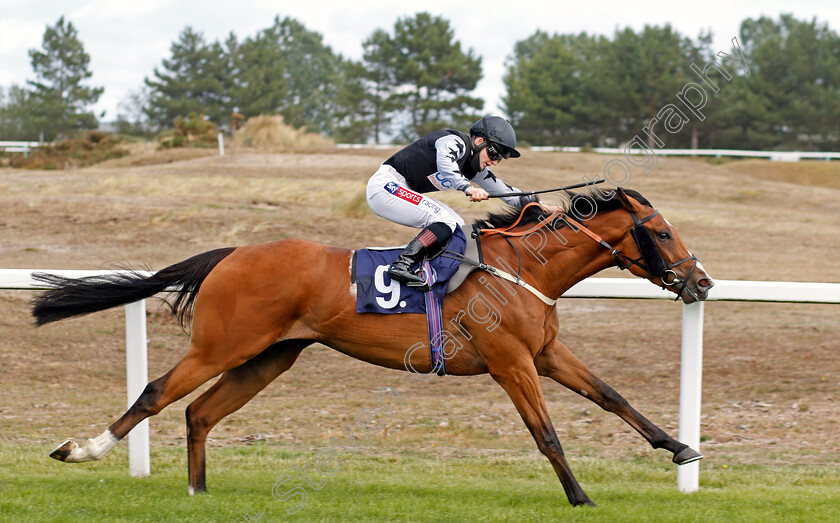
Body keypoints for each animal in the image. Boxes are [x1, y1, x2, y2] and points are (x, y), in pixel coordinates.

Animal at [34, 186, 716, 506]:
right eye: (661, 232)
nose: (702, 283)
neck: (525, 268)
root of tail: (230, 254)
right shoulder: (511, 363)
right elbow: (546, 433)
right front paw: (579, 495)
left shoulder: (545, 354)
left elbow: (612, 396)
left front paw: (681, 447)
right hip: (222, 346)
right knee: (155, 394)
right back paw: (81, 450)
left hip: (269, 356)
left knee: (200, 412)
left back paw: (199, 492)